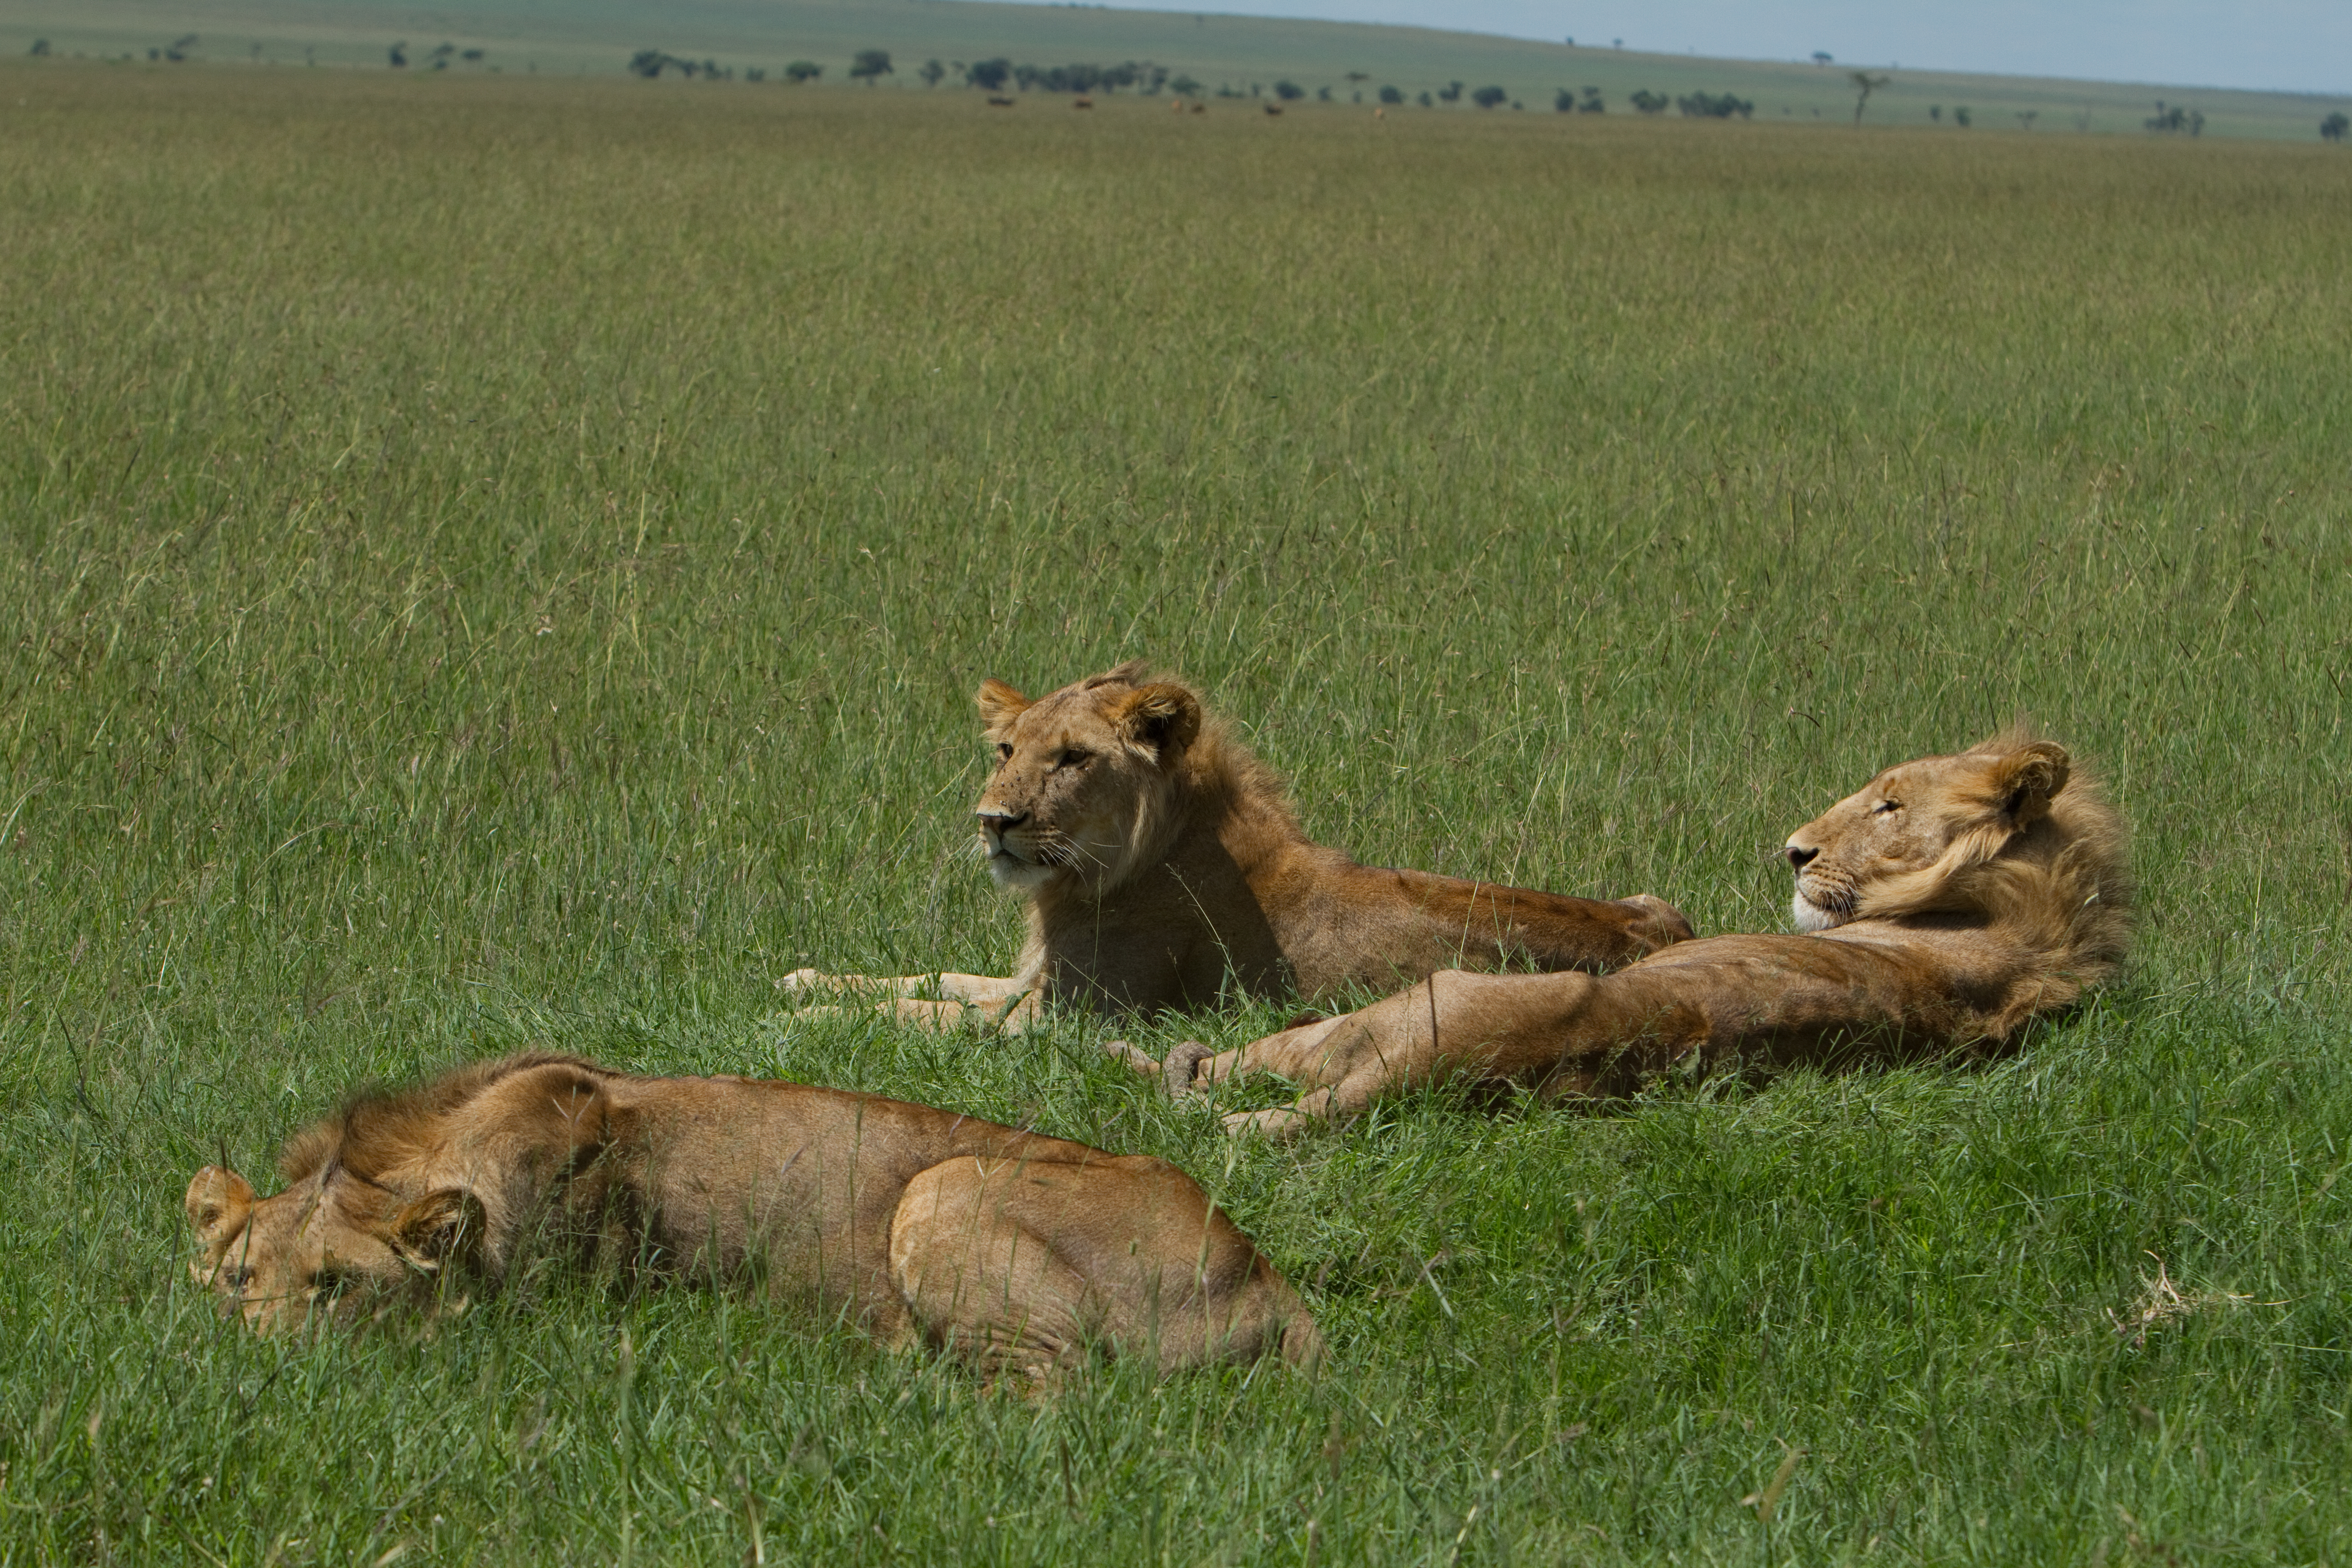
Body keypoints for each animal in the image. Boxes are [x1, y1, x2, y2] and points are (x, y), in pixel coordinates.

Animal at [785, 662, 1690, 1028]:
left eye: (1073, 758)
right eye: (1007, 750)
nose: (992, 821)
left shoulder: (1075, 1015)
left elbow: (932, 1011)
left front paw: (817, 1016)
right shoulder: (1033, 983)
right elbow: (934, 979)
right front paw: (810, 981)